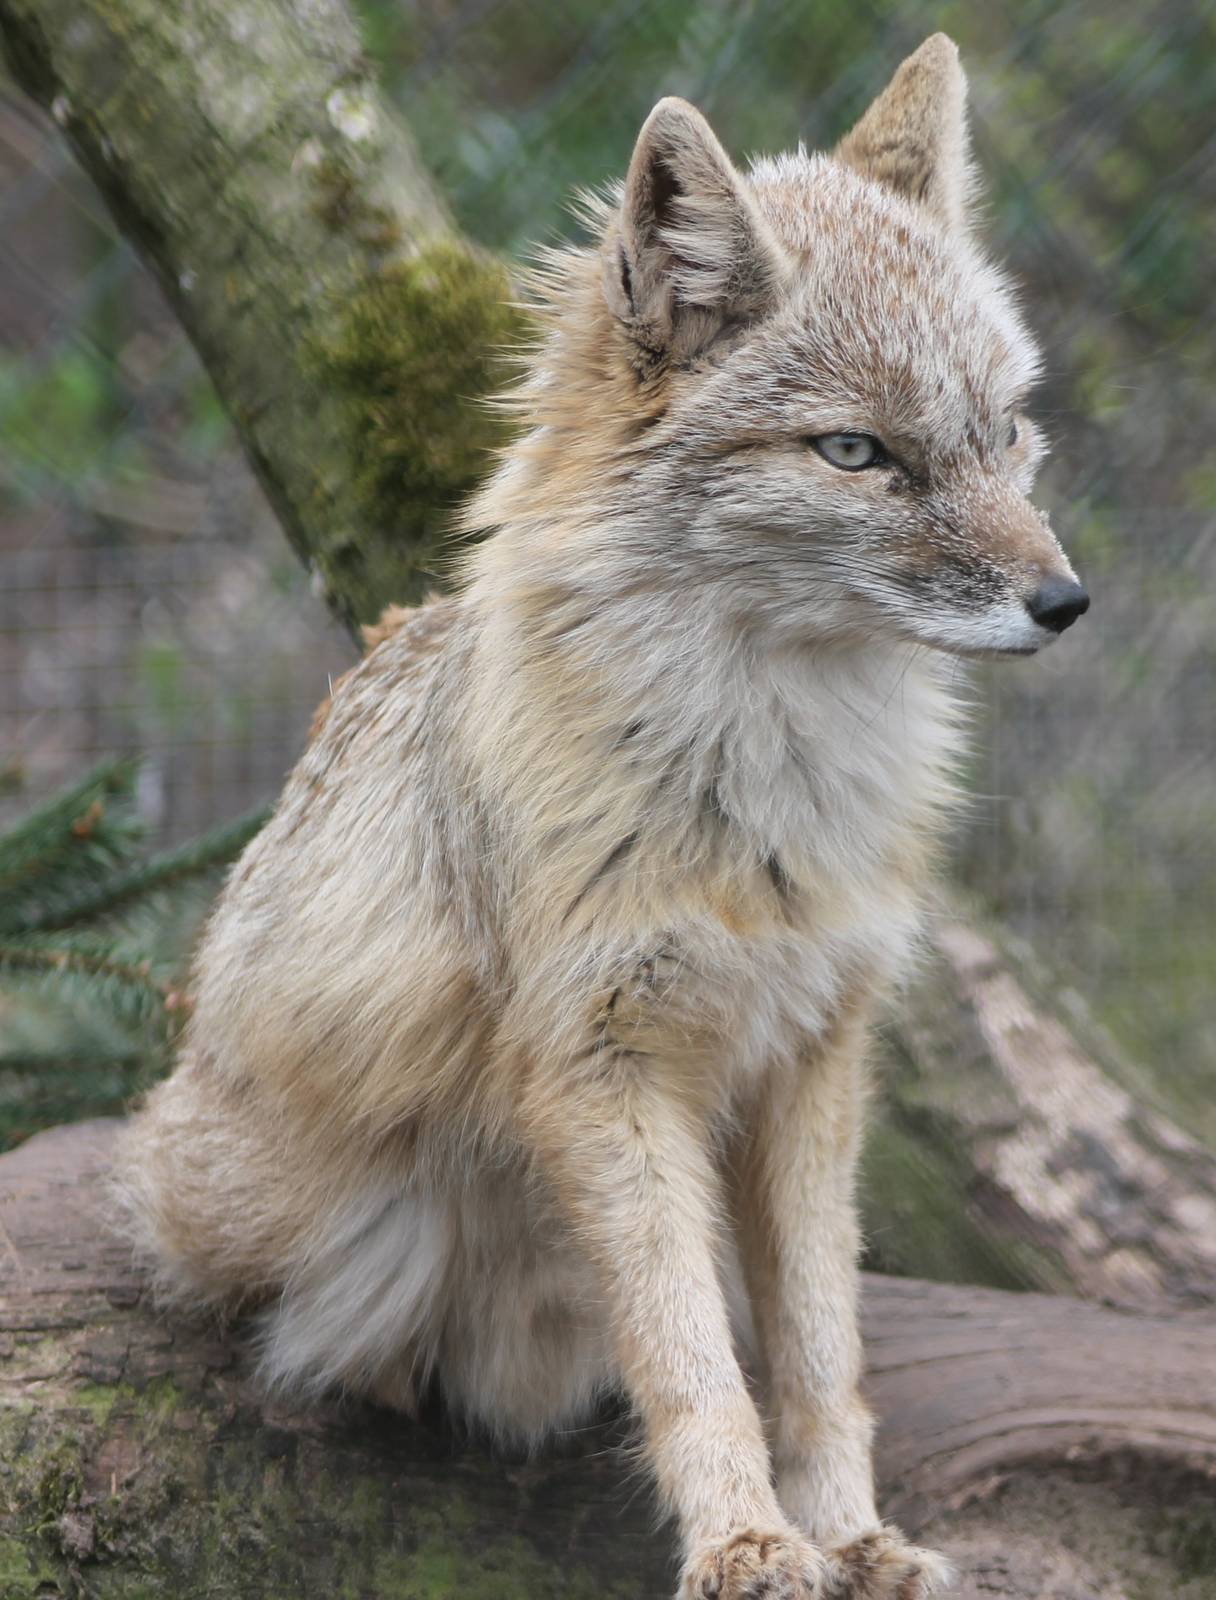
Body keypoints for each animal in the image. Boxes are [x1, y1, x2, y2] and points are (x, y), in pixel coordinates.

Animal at [115, 33, 1088, 1600]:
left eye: (1005, 435)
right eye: (857, 454)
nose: (1065, 602)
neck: (763, 806)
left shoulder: (818, 1053)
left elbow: (817, 1345)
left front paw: (850, 1535)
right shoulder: (601, 1060)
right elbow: (686, 1350)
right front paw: (748, 1539)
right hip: (291, 1205)